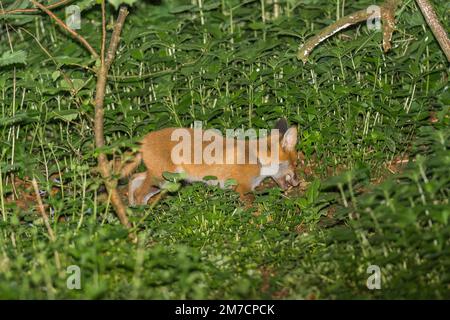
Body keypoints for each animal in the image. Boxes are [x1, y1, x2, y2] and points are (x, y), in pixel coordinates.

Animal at [121, 118, 300, 205]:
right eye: (295, 164)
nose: (298, 182)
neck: (257, 158)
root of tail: (145, 138)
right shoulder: (242, 188)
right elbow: (252, 209)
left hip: (165, 179)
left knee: (134, 179)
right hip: (164, 179)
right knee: (139, 193)